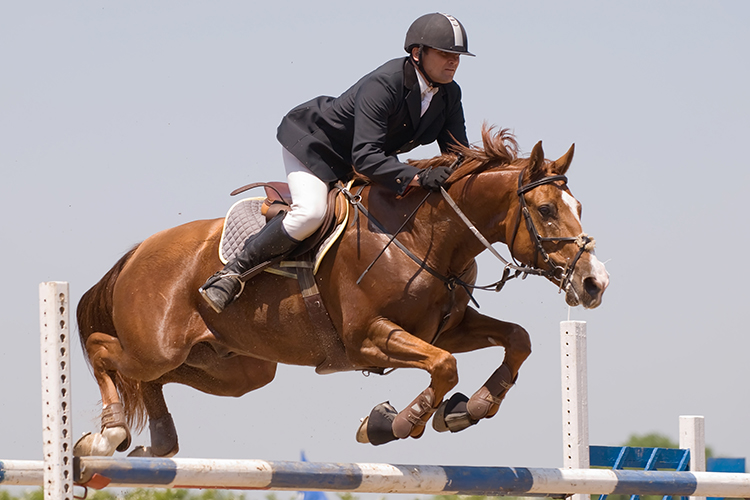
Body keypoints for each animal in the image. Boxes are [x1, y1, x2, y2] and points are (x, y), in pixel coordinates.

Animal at [73, 128, 612, 458]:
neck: (425, 237)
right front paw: (392, 423)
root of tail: (137, 253)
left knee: (153, 379)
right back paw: (107, 436)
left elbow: (516, 339)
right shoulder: (367, 338)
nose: (594, 282)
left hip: (235, 368)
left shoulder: (448, 328)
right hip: (158, 345)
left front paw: (468, 409)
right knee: (105, 351)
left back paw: (158, 444)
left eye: (579, 206)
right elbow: (443, 367)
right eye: (546, 210)